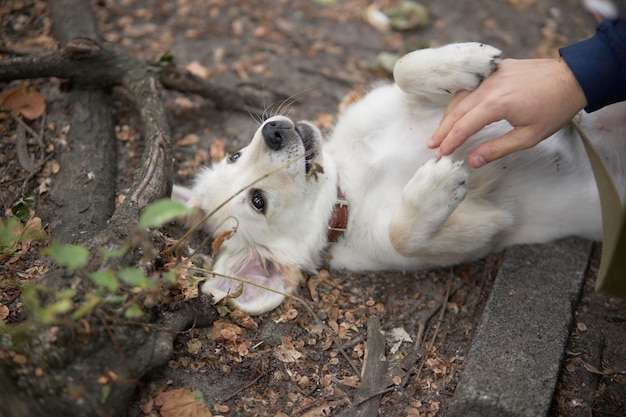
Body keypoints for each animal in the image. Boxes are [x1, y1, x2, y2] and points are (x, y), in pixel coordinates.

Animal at [173, 43, 624, 316]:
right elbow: (404, 233)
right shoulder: (487, 228)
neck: (351, 183)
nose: (274, 132)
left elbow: (403, 66)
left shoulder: (386, 102)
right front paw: (436, 187)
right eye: (258, 201)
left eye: (233, 154)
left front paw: (463, 62)